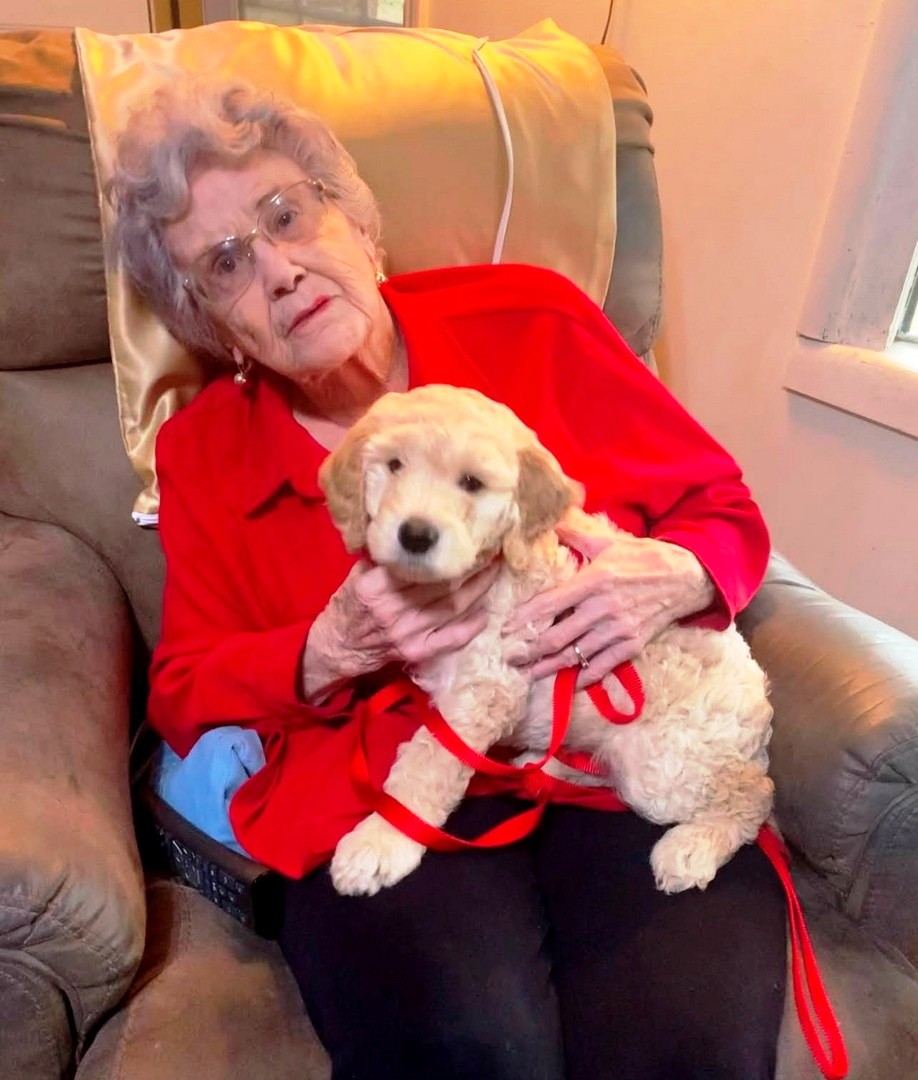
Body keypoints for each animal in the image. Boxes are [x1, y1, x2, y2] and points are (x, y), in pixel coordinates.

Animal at [318, 384, 774, 897]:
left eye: (472, 482)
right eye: (394, 465)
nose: (415, 535)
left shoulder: (485, 688)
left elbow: (428, 764)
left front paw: (381, 840)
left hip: (664, 763)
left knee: (753, 793)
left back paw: (692, 848)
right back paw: (546, 765)